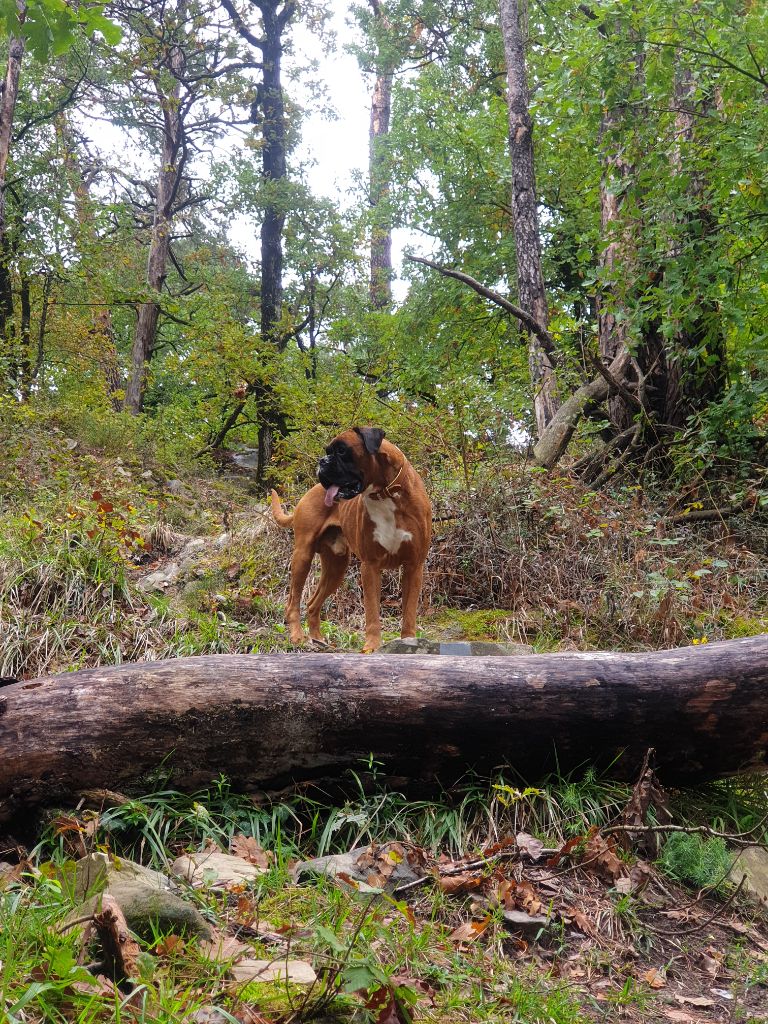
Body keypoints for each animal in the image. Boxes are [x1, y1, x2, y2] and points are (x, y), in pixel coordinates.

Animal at [270, 425, 430, 651]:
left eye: (342, 451)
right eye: (328, 451)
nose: (322, 461)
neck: (385, 493)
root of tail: (309, 492)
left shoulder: (414, 566)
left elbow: (409, 610)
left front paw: (408, 641)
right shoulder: (370, 566)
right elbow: (372, 611)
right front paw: (371, 646)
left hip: (336, 567)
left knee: (312, 604)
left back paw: (318, 640)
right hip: (302, 556)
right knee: (293, 601)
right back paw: (297, 636)